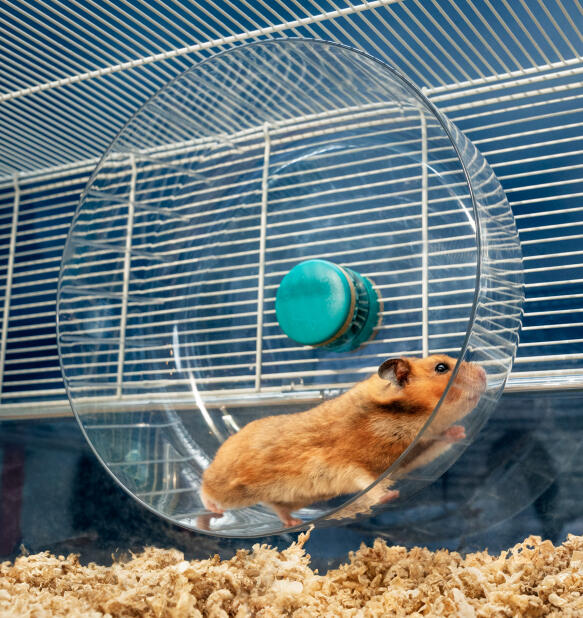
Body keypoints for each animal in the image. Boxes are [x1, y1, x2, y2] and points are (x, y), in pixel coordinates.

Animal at [201, 356, 488, 524]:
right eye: (441, 368)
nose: (485, 372)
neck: (400, 421)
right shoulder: (344, 463)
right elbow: (367, 483)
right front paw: (390, 496)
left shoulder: (411, 456)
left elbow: (436, 446)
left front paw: (459, 431)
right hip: (229, 487)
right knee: (205, 488)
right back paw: (214, 511)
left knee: (276, 507)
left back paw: (293, 522)